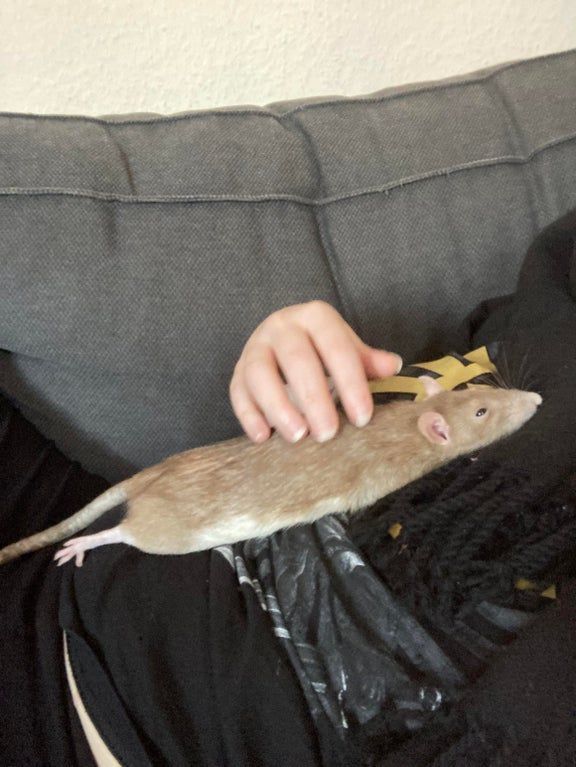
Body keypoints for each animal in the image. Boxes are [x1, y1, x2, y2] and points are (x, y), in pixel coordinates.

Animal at [0, 376, 542, 567]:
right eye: (482, 413)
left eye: (478, 393)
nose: (536, 399)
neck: (407, 423)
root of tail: (151, 476)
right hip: (165, 533)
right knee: (125, 534)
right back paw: (89, 541)